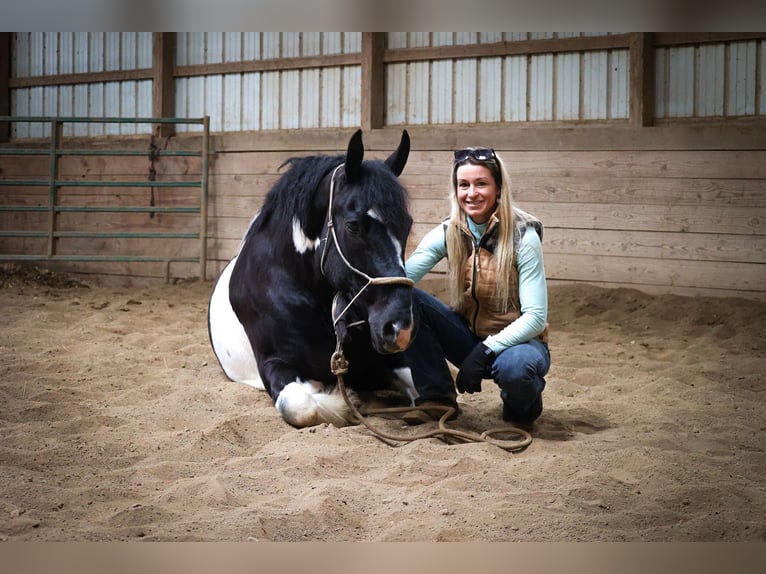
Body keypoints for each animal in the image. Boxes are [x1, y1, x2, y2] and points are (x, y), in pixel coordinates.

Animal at [208, 129, 420, 428]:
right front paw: (344, 401)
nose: (399, 328)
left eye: (407, 224)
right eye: (353, 226)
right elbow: (300, 405)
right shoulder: (274, 363)